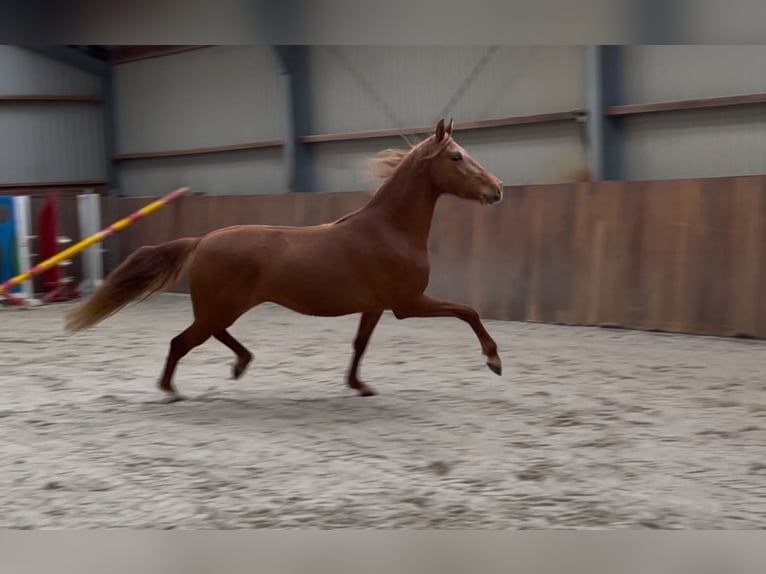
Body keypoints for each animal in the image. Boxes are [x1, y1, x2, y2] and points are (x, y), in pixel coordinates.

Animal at [66, 119, 504, 402]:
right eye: (456, 157)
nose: (497, 189)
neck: (389, 229)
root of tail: (202, 240)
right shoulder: (407, 303)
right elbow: (468, 311)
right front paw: (494, 360)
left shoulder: (376, 307)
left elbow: (360, 344)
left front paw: (359, 386)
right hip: (221, 306)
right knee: (183, 341)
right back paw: (171, 390)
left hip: (222, 307)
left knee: (211, 335)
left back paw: (240, 365)